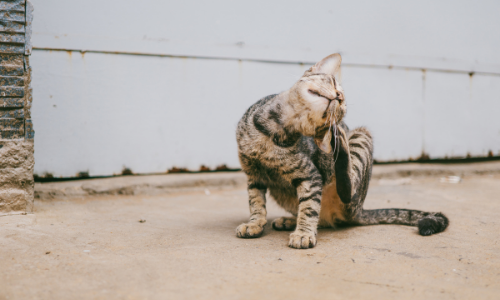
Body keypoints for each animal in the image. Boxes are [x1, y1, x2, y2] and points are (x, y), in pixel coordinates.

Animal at [234, 53, 450, 248]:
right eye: (332, 82)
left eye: (342, 107)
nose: (339, 96)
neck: (273, 132)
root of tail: (359, 210)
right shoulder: (254, 175)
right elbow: (256, 203)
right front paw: (254, 224)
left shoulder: (310, 176)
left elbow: (309, 207)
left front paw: (303, 233)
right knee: (318, 217)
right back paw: (289, 220)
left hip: (361, 141)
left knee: (346, 190)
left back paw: (339, 140)